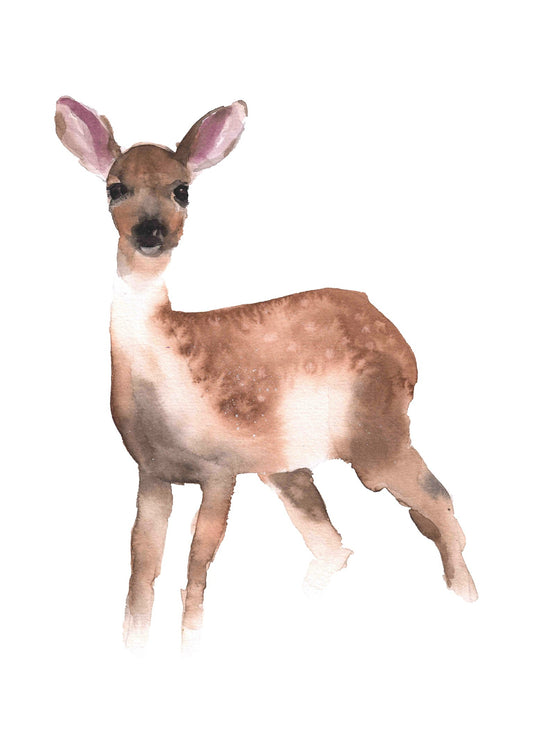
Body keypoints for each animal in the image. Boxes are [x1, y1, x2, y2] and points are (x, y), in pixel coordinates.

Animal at [55, 96, 478, 649]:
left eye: (182, 189)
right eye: (115, 187)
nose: (150, 231)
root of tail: (397, 336)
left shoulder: (220, 466)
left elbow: (197, 566)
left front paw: (190, 644)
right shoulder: (152, 471)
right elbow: (141, 568)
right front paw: (135, 647)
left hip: (374, 431)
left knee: (438, 505)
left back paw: (466, 600)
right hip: (286, 461)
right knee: (335, 544)